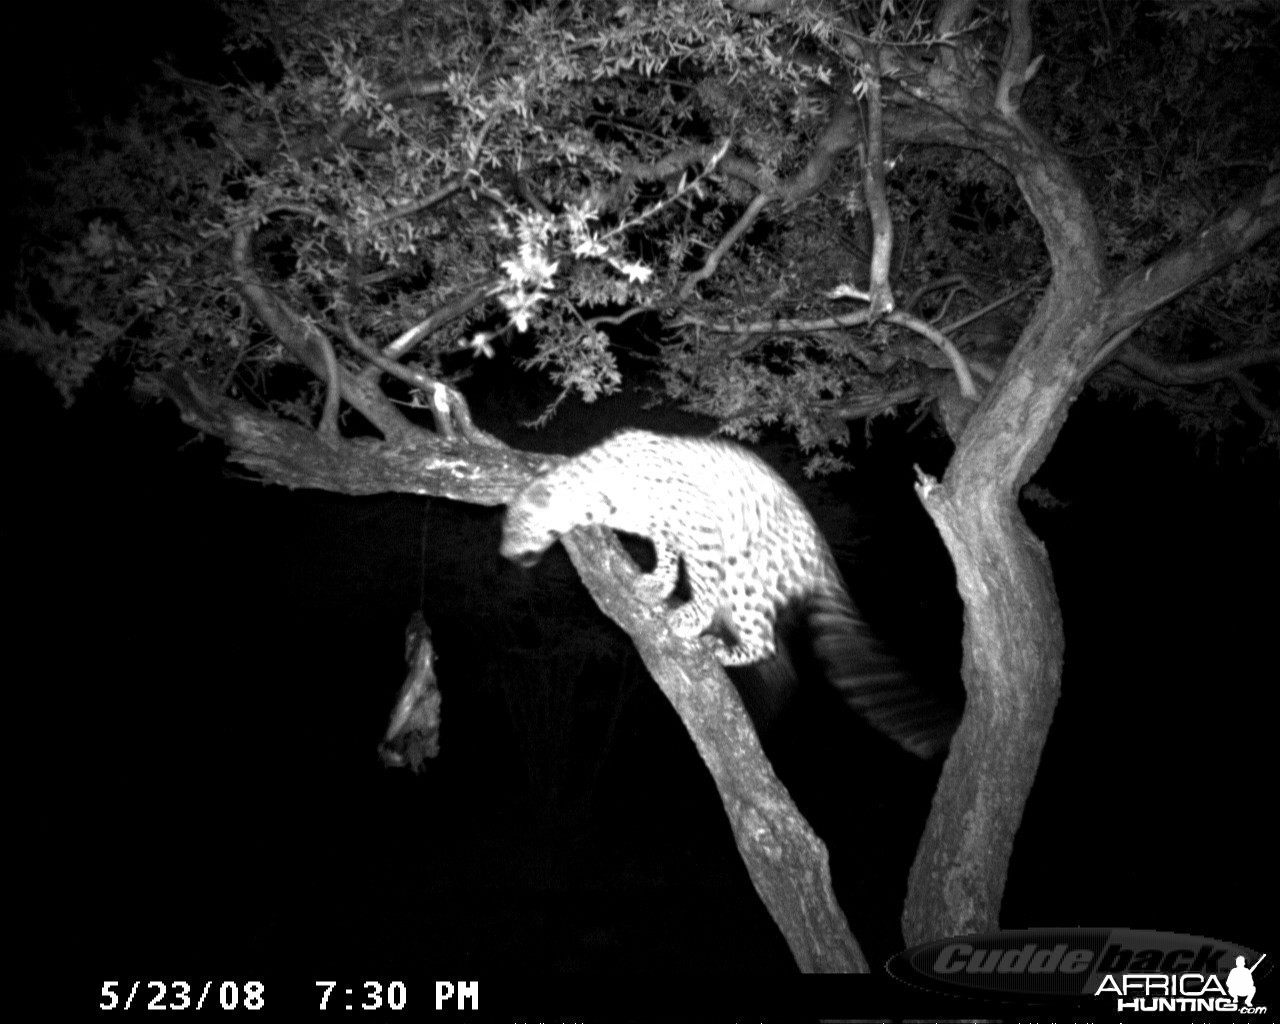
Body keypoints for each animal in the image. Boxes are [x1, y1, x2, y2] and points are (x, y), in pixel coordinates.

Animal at [499, 427, 962, 757]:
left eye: (515, 527)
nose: (503, 554)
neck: (599, 496)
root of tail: (823, 556)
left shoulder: (700, 527)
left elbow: (699, 579)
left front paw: (688, 616)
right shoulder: (667, 530)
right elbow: (667, 558)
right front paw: (656, 583)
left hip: (745, 575)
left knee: (766, 642)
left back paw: (719, 647)